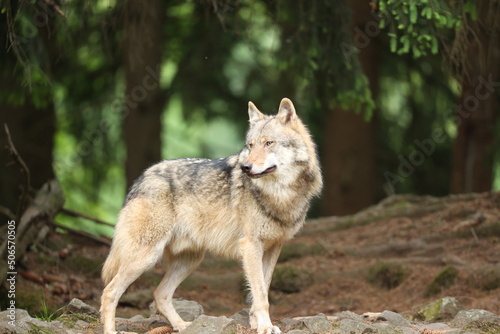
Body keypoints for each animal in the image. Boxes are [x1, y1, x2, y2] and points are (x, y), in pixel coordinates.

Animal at [99, 97, 322, 334]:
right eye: (250, 145)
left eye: (269, 143)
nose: (246, 167)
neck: (280, 195)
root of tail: (141, 178)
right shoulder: (251, 246)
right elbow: (261, 294)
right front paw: (265, 327)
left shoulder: (273, 248)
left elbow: (262, 289)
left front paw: (256, 324)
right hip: (146, 256)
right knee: (109, 292)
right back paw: (112, 330)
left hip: (189, 261)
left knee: (160, 294)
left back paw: (182, 325)